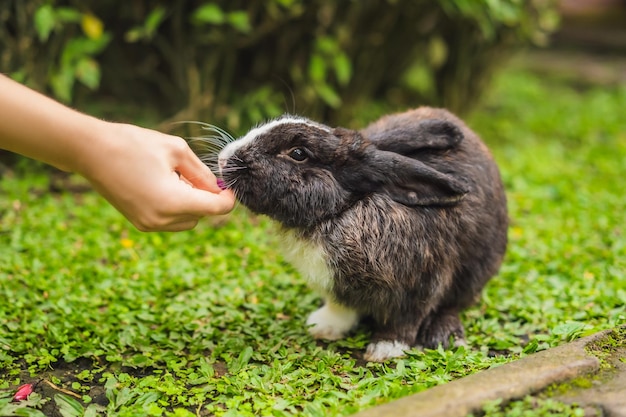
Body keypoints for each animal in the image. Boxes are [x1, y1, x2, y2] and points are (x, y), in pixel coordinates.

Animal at [214, 107, 508, 360]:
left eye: (298, 153)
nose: (223, 159)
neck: (339, 212)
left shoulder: (422, 284)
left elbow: (406, 320)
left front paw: (385, 349)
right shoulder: (337, 288)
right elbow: (341, 308)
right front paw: (323, 327)